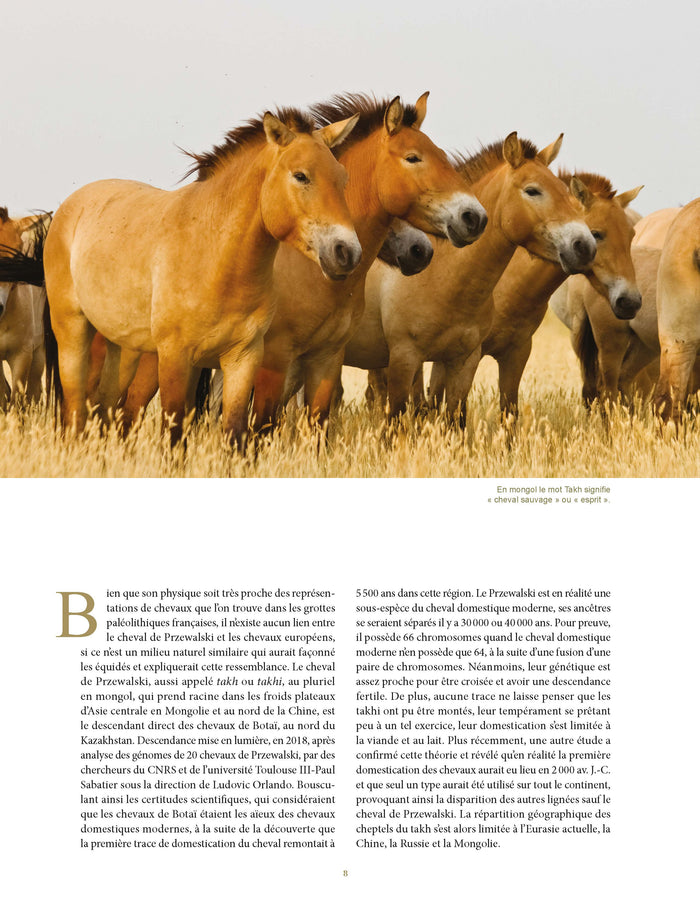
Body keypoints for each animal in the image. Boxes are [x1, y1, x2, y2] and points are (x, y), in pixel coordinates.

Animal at [43, 107, 362, 445]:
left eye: (342, 179)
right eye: (301, 176)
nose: (347, 252)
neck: (215, 257)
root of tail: (69, 207)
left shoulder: (243, 357)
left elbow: (234, 432)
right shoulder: (175, 357)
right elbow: (173, 435)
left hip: (119, 348)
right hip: (73, 334)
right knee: (76, 410)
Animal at [343, 133, 597, 422]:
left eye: (566, 192)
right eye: (532, 190)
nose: (584, 245)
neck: (442, 277)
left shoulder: (464, 361)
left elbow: (457, 417)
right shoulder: (404, 358)